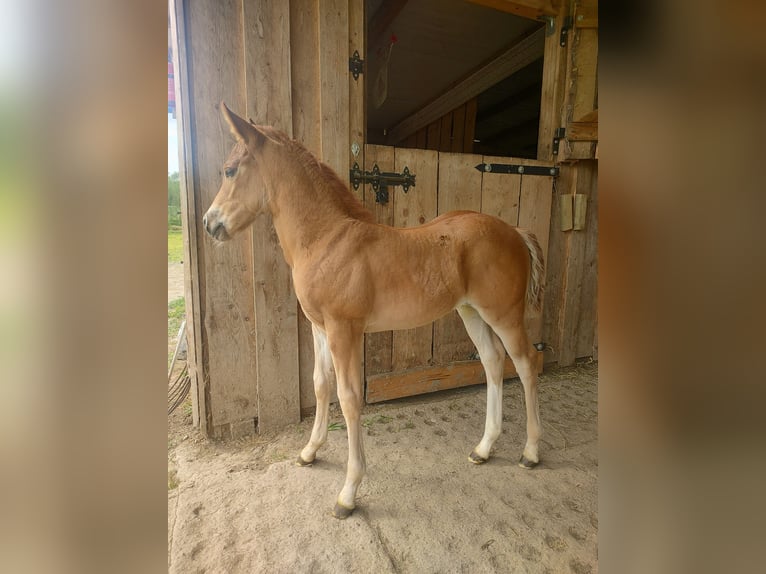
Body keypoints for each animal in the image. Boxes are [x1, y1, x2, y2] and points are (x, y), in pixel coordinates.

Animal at [204, 103, 544, 520]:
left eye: (229, 170)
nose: (209, 223)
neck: (326, 239)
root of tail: (515, 231)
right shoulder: (319, 327)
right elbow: (320, 384)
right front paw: (309, 452)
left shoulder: (344, 330)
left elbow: (349, 398)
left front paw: (348, 493)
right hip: (471, 312)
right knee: (493, 362)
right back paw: (483, 448)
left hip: (504, 313)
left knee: (526, 363)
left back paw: (530, 452)